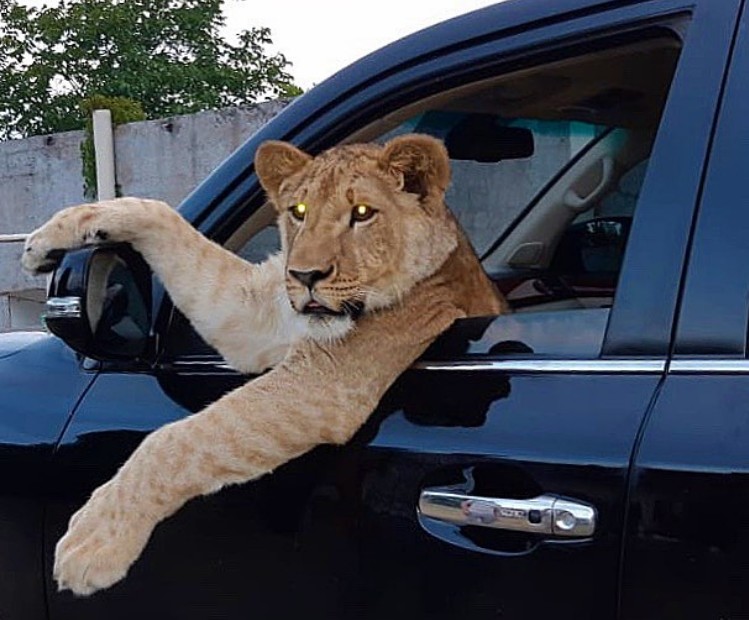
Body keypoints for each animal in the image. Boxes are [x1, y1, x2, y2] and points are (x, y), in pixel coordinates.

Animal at [21, 133, 505, 596]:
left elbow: (176, 440)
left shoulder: (325, 384)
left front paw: (94, 541)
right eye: (299, 211)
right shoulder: (257, 310)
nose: (306, 275)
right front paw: (49, 237)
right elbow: (163, 218)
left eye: (363, 213)